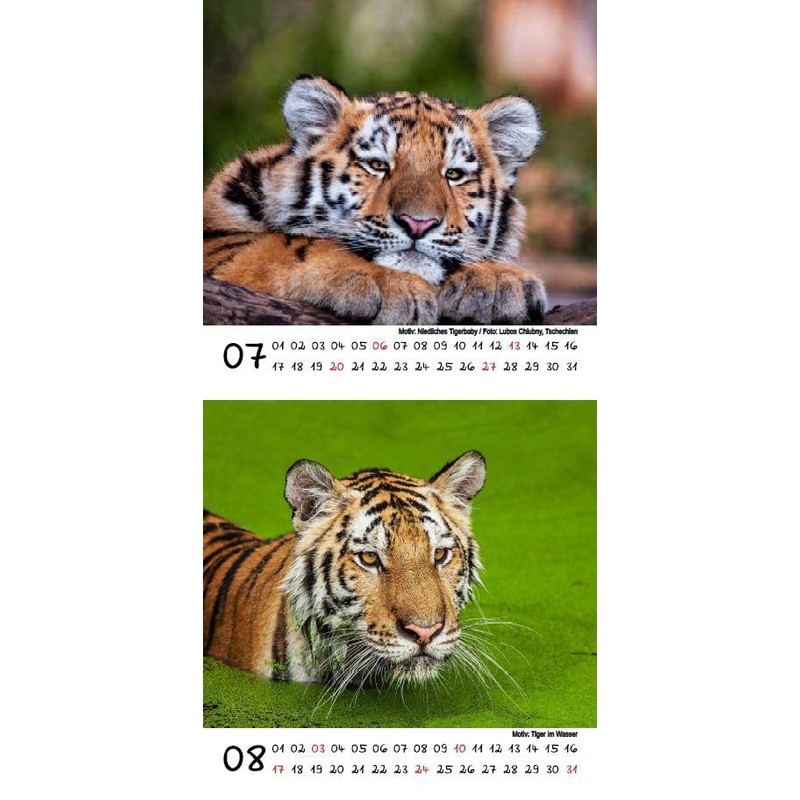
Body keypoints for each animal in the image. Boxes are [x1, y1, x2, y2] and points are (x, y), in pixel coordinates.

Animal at [204, 74, 546, 325]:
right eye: (378, 165)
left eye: (454, 174)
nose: (418, 224)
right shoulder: (219, 243)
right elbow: (292, 244)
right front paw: (391, 284)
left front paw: (499, 280)